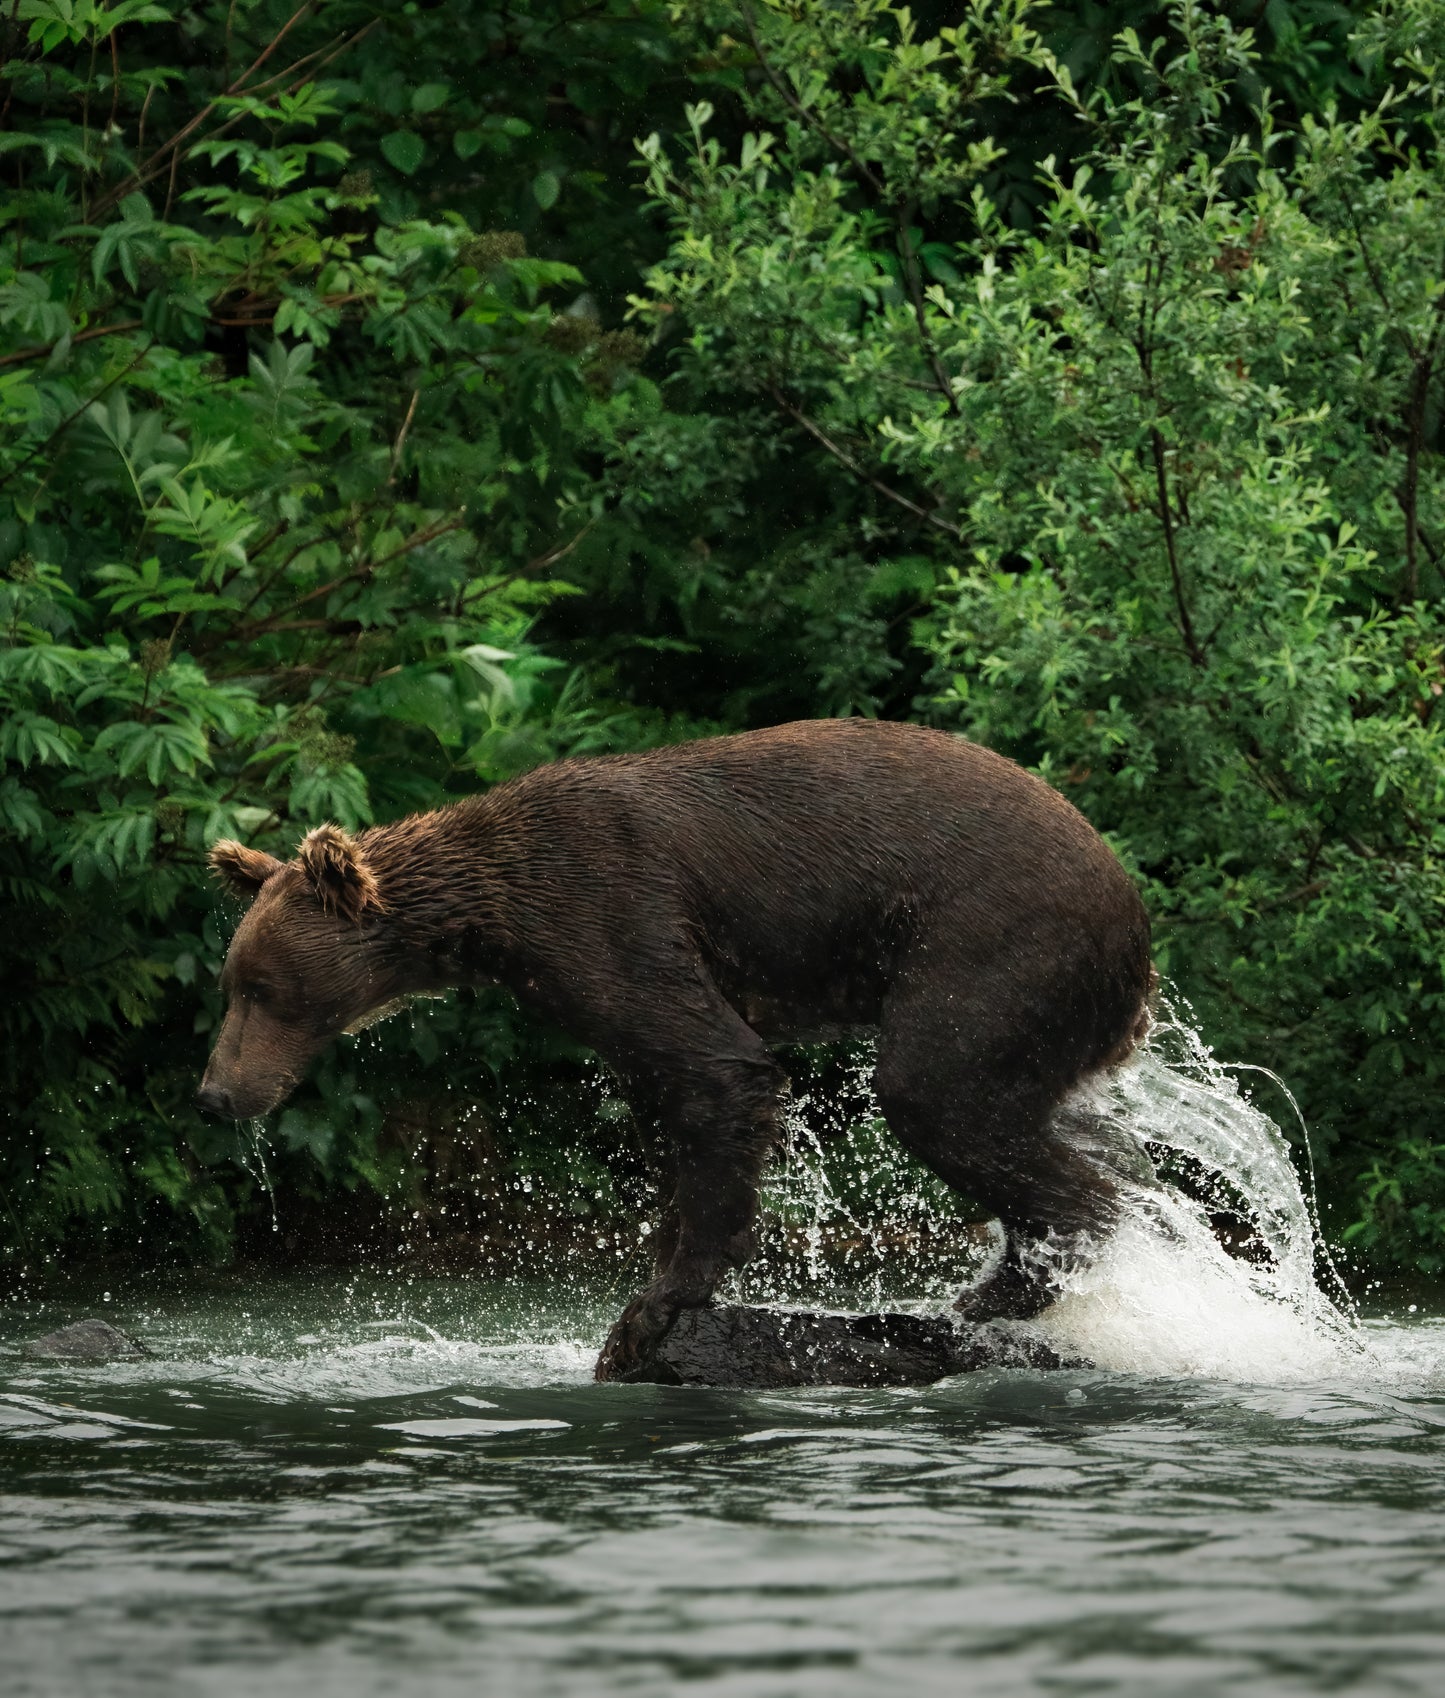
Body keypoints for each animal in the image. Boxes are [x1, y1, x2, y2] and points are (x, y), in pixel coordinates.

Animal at [200, 716, 1154, 1378]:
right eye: (232, 983)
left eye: (264, 989)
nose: (215, 1093)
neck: (497, 917)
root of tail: (1132, 911)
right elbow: (669, 1096)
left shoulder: (609, 908)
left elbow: (717, 1068)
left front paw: (654, 1307)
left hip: (991, 943)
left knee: (938, 1092)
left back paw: (1002, 1284)